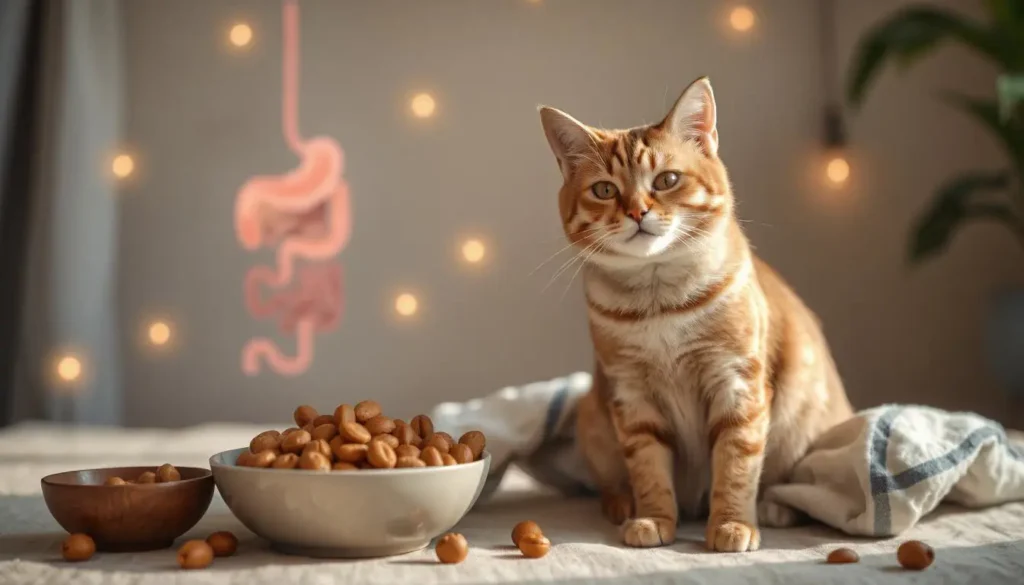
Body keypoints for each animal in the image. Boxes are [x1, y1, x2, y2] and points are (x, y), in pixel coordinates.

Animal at [540, 75, 851, 553]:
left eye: (666, 180)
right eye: (605, 190)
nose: (637, 211)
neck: (660, 306)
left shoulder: (736, 382)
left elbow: (736, 465)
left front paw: (732, 523)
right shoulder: (632, 395)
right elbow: (648, 469)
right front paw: (653, 518)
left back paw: (776, 508)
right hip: (594, 417)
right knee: (610, 483)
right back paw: (621, 503)